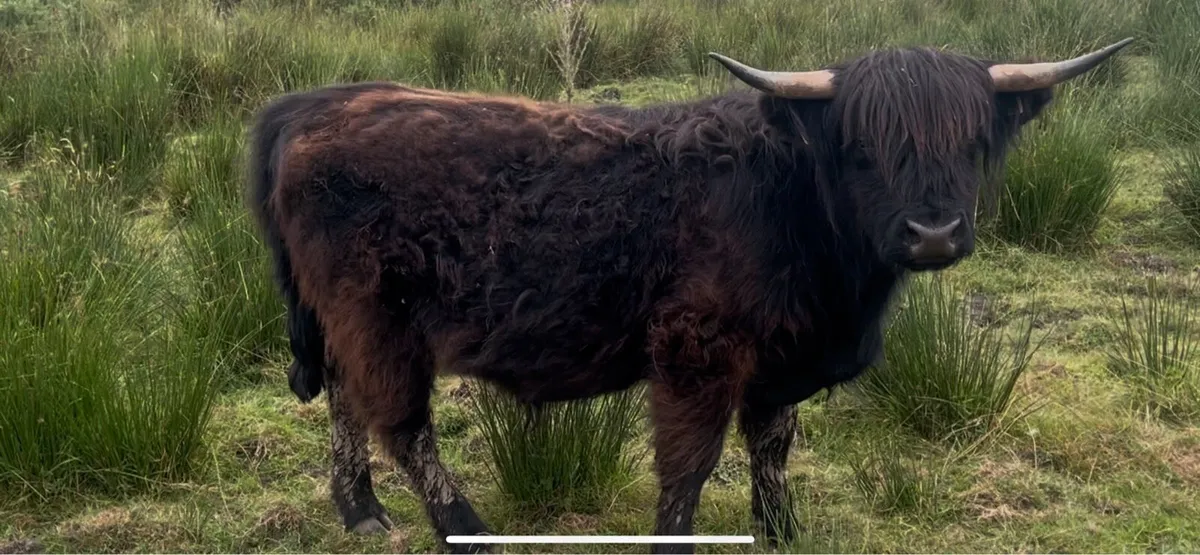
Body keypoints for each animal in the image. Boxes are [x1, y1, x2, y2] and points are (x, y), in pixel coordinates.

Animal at [247, 38, 1132, 553]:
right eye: (860, 146)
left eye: (975, 140)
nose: (934, 233)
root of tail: (314, 104)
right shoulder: (696, 348)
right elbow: (690, 463)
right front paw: (676, 537)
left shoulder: (781, 357)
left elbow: (772, 447)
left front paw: (783, 532)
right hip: (379, 315)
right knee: (400, 421)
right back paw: (464, 526)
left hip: (345, 319)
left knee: (346, 403)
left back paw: (360, 509)